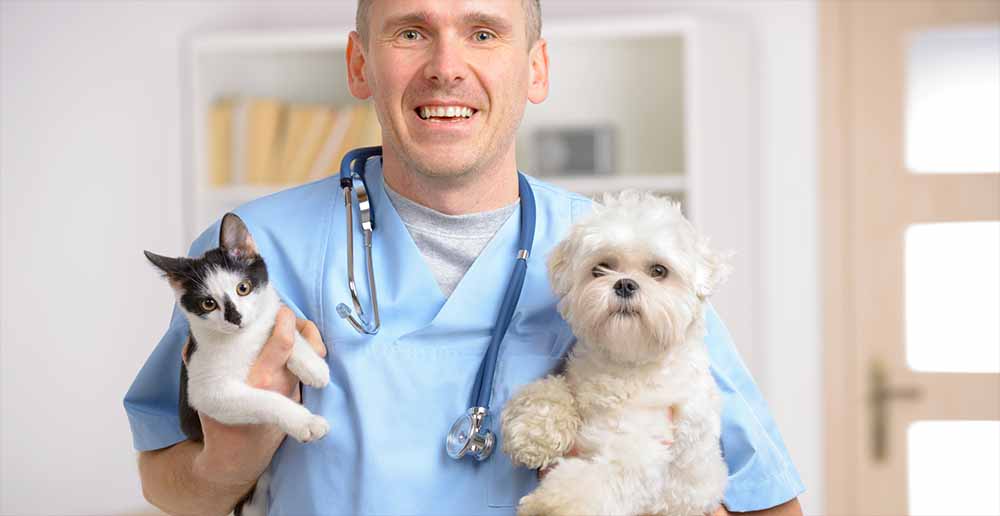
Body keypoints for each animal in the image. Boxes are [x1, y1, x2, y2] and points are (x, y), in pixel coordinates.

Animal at [145, 212, 332, 442]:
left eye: (243, 288)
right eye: (208, 304)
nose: (236, 318)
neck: (245, 337)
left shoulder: (270, 311)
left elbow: (281, 326)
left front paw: (313, 366)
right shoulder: (205, 391)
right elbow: (265, 400)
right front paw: (305, 421)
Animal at [504, 191, 732, 516]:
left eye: (659, 271)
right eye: (600, 268)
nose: (624, 283)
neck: (625, 363)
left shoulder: (639, 452)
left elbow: (589, 484)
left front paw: (548, 506)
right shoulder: (575, 380)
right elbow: (547, 390)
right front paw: (534, 432)